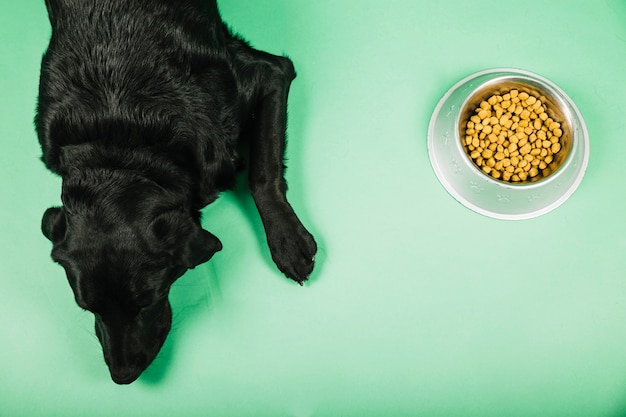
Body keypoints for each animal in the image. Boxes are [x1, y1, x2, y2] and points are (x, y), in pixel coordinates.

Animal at [36, 0, 314, 384]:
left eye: (148, 302)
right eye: (87, 307)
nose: (122, 376)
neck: (120, 141)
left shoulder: (270, 72)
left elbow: (261, 172)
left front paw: (287, 241)